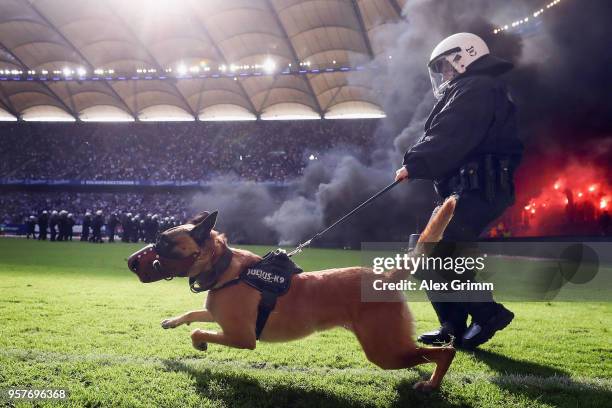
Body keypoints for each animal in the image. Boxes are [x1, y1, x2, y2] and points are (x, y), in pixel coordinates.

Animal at [126, 196, 456, 390]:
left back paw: (431, 384)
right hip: (390, 347)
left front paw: (199, 344)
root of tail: (385, 275)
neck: (223, 268)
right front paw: (172, 321)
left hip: (383, 351)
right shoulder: (218, 315)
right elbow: (193, 313)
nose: (130, 262)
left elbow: (197, 330)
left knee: (445, 352)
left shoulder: (241, 337)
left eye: (163, 242)